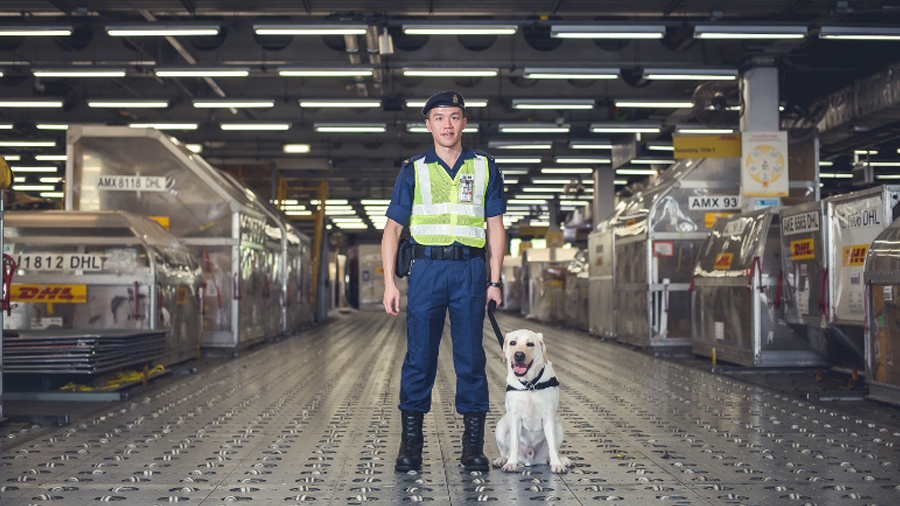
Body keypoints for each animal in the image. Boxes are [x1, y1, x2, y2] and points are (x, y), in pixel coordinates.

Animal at [492, 330, 568, 472]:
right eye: (513, 343)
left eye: (530, 344)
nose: (519, 355)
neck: (530, 384)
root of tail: (530, 459)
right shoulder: (515, 416)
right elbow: (514, 444)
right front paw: (511, 463)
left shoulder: (548, 415)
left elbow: (552, 444)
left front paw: (557, 464)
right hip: (501, 426)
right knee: (505, 451)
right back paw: (502, 460)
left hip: (558, 426)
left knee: (551, 450)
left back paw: (561, 460)